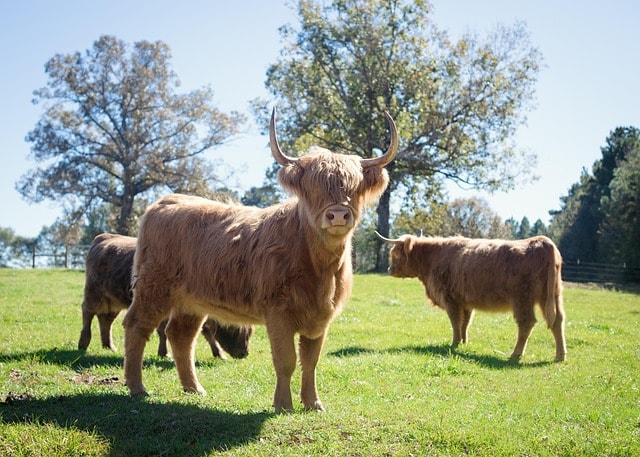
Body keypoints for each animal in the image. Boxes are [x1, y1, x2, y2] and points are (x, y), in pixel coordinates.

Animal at [78, 233, 253, 360]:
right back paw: (83, 343)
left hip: (113, 301)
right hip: (94, 294)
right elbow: (163, 331)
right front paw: (165, 353)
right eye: (235, 329)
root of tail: (104, 237)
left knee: (105, 320)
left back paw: (109, 346)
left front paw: (219, 354)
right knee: (88, 313)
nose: (244, 353)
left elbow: (208, 333)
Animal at [122, 108, 397, 411]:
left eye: (355, 187)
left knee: (180, 336)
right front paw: (284, 405)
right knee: (137, 326)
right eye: (313, 188)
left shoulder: (320, 317)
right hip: (153, 288)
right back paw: (137, 387)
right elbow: (286, 360)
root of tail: (165, 202)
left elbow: (311, 362)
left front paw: (313, 403)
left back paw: (194, 389)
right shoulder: (278, 312)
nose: (337, 214)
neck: (319, 267)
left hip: (191, 300)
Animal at [377, 233, 566, 362]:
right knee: (557, 321)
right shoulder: (465, 301)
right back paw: (560, 355)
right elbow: (465, 323)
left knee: (526, 323)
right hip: (551, 296)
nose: (389, 270)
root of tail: (543, 242)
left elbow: (455, 321)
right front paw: (463, 342)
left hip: (522, 298)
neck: (432, 258)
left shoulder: (450, 298)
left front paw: (454, 344)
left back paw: (515, 354)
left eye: (395, 254)